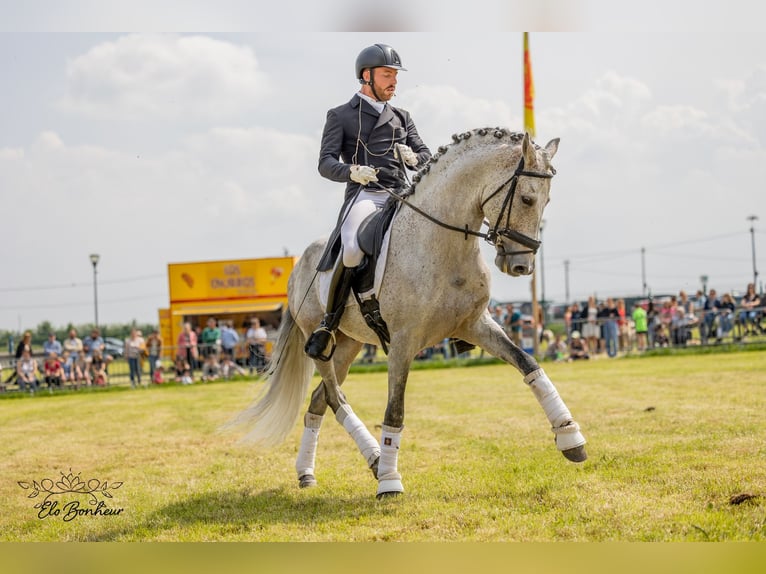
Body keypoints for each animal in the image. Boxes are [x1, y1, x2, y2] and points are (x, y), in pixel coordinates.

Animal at [225, 129, 592, 500]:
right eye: (528, 199)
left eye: (546, 202)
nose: (521, 266)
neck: (444, 244)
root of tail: (299, 264)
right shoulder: (403, 341)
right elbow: (395, 407)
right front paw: (390, 480)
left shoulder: (475, 325)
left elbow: (529, 365)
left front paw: (570, 437)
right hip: (321, 341)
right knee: (336, 397)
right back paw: (373, 460)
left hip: (349, 344)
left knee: (319, 401)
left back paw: (309, 472)